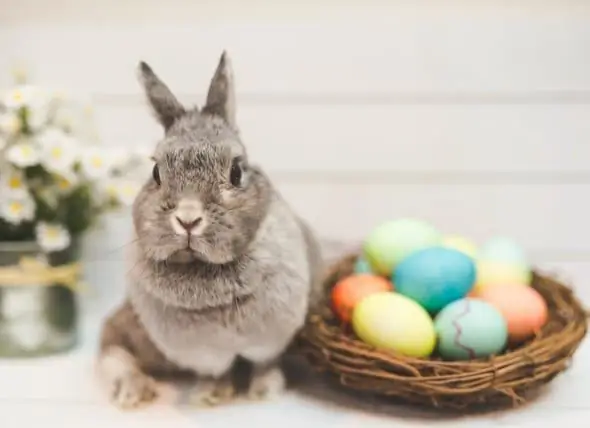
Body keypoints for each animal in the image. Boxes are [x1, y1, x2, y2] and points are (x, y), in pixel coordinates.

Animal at [96, 51, 324, 410]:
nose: (188, 219)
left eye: (236, 171)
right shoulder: (203, 355)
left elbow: (265, 363)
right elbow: (215, 372)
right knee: (110, 344)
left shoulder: (271, 339)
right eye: (155, 172)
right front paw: (210, 395)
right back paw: (133, 391)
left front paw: (263, 392)